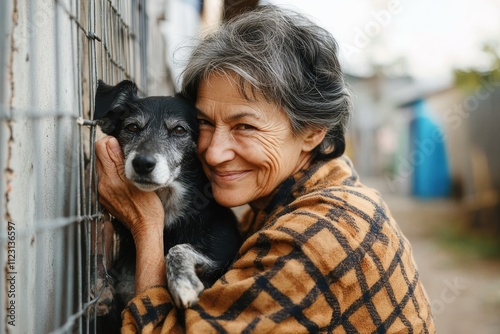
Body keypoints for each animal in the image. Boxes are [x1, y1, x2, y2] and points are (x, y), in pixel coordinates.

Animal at [93, 80, 242, 332]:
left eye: (179, 130)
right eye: (132, 127)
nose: (142, 163)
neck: (169, 209)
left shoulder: (225, 253)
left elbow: (178, 248)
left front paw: (183, 282)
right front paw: (100, 288)